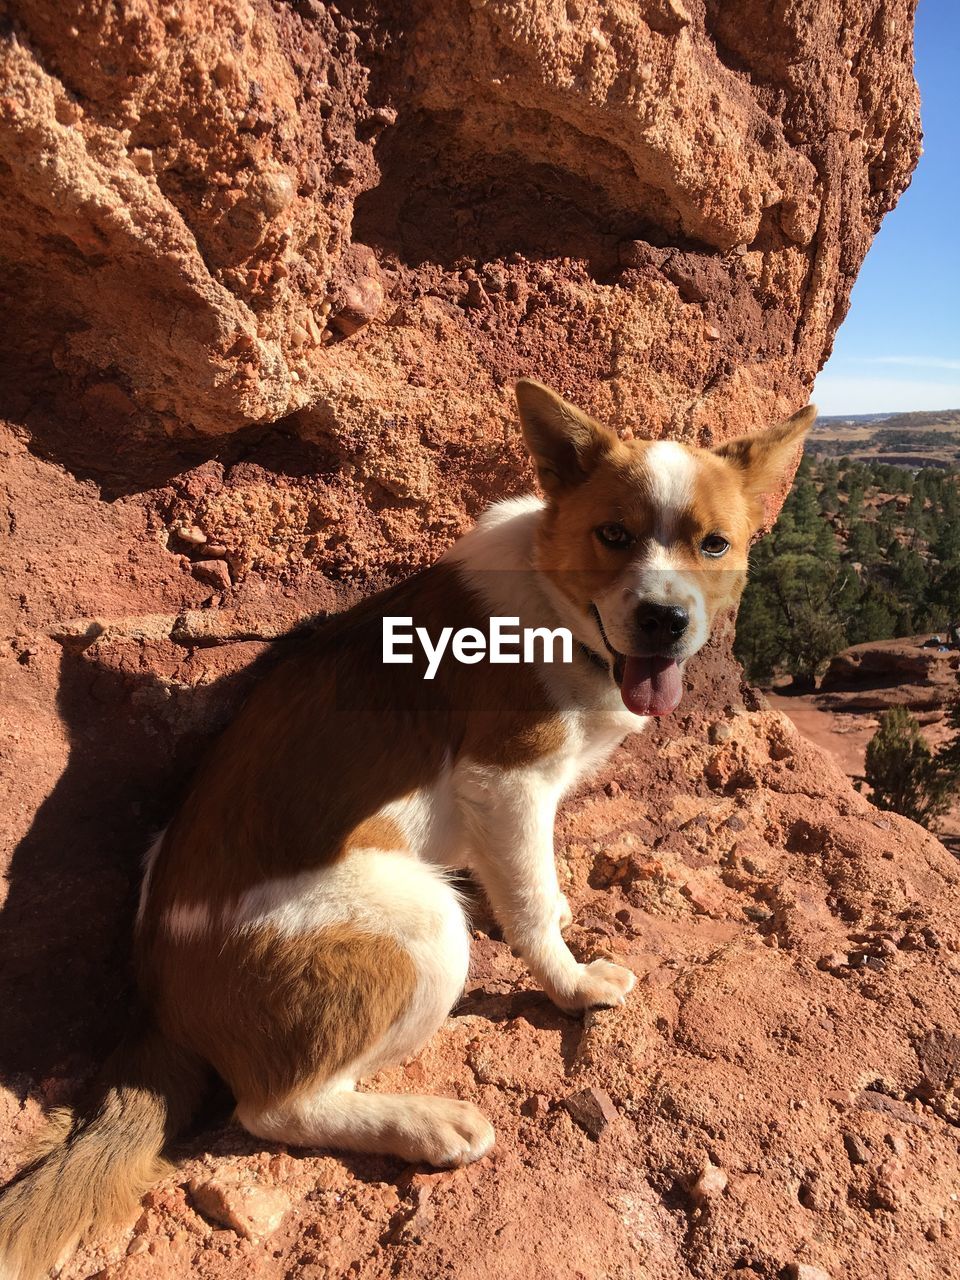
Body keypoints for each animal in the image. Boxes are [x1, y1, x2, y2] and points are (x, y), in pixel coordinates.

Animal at [0, 381, 814, 1280]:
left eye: (714, 543)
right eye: (615, 535)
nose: (666, 620)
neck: (556, 600)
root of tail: (158, 1003)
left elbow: (533, 880)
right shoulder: (507, 782)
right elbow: (530, 905)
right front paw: (569, 982)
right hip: (418, 925)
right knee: (276, 1108)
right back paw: (422, 1123)